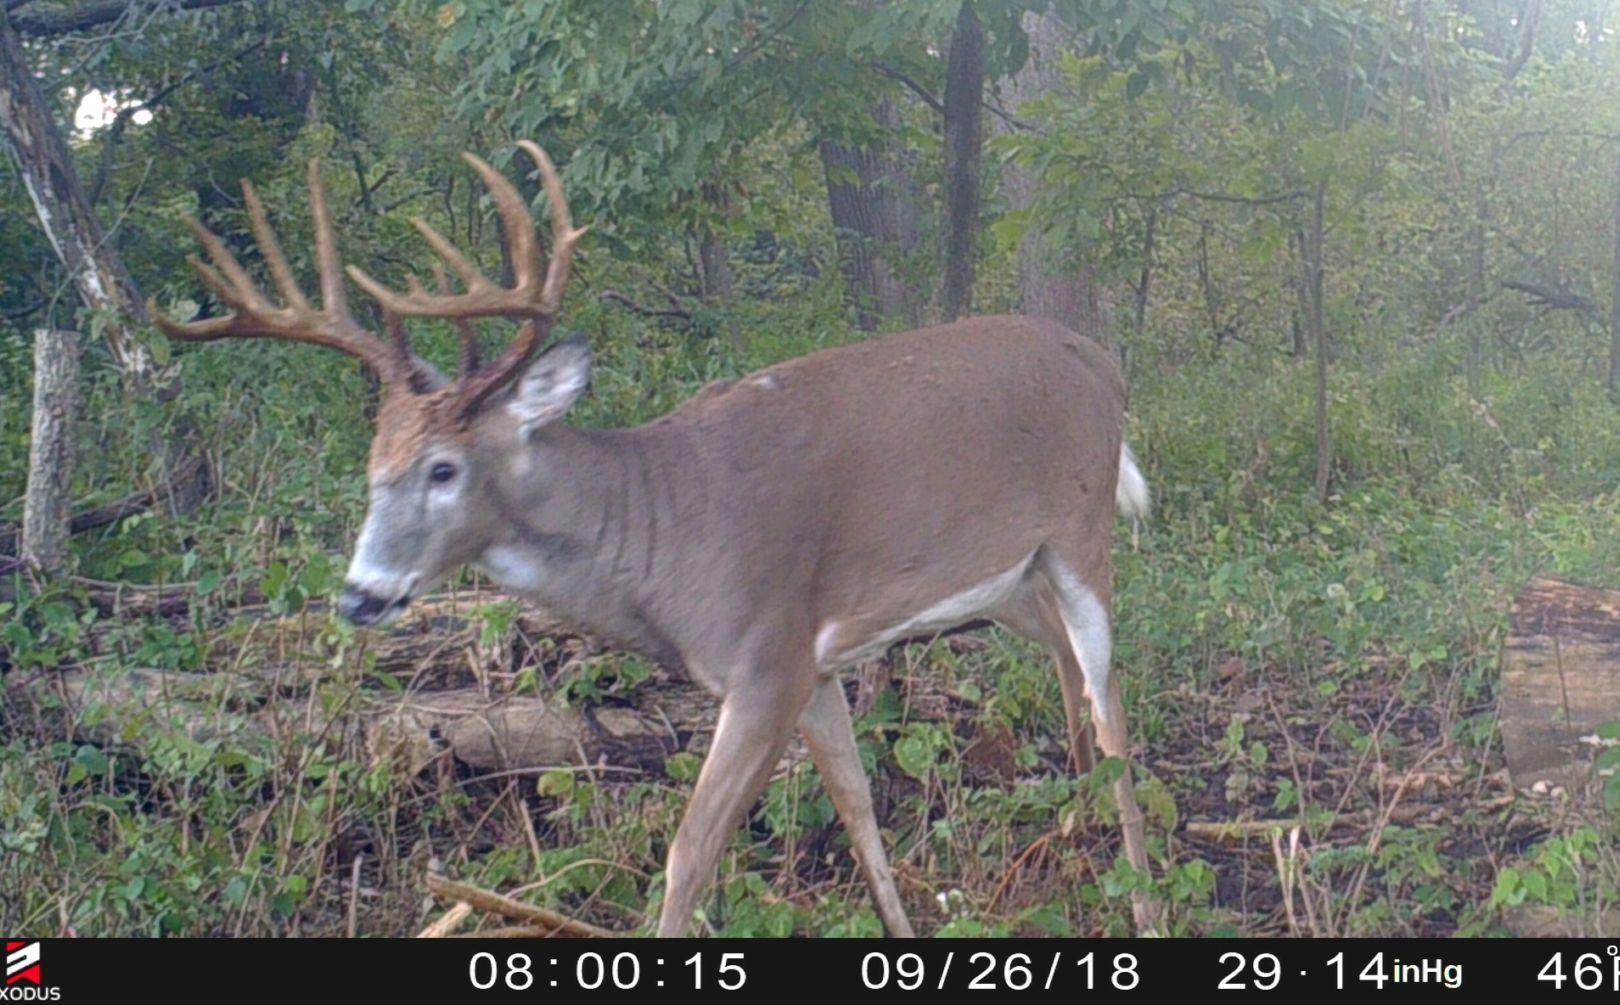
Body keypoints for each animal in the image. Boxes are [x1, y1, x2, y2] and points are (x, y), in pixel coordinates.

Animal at [152, 140, 1157, 938]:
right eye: (372, 465)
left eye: (442, 468)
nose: (361, 594)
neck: (663, 534)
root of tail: (1103, 361)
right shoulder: (813, 660)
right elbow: (857, 801)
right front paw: (903, 932)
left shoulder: (766, 658)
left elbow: (690, 850)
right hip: (1012, 577)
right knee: (1066, 665)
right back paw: (1077, 827)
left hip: (1081, 531)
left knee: (1111, 699)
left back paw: (1142, 897)